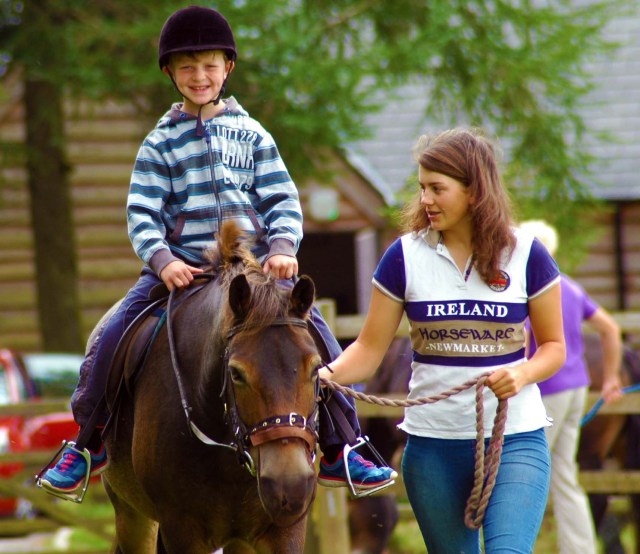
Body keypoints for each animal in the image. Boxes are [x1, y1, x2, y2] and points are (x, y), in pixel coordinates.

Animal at [100, 221, 322, 553]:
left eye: (316, 367)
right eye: (236, 373)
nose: (290, 485)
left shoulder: (285, 530)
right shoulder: (181, 529)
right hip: (132, 516)